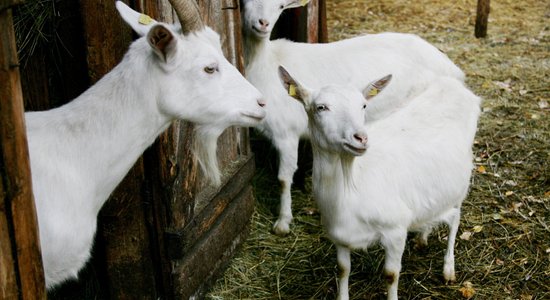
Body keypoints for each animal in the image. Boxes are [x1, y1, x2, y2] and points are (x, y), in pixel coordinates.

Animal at [242, 0, 466, 234]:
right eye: (246, 2)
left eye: (281, 6)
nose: (263, 23)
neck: (264, 63)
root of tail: (452, 68)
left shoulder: (286, 133)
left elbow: (284, 179)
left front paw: (283, 221)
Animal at [278, 66, 480, 300]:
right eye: (321, 107)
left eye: (363, 105)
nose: (361, 138)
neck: (352, 186)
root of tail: (453, 85)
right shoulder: (338, 235)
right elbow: (342, 269)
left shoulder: (396, 229)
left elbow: (391, 275)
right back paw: (422, 238)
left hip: (461, 181)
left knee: (455, 218)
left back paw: (448, 269)